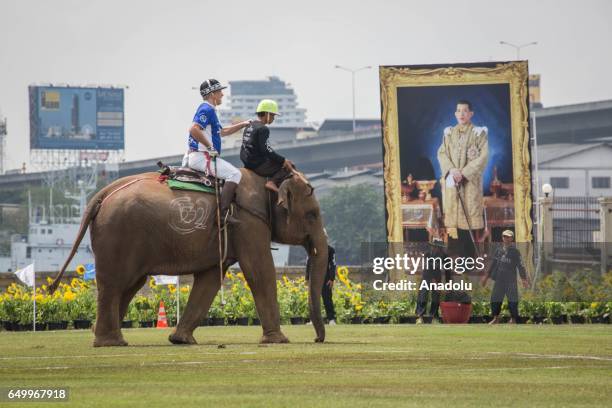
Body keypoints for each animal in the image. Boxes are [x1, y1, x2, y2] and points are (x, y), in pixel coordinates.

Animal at [49, 169, 328, 348]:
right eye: (313, 214)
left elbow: (210, 279)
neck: (267, 180)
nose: (317, 339)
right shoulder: (248, 222)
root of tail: (101, 195)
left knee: (129, 285)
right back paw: (110, 343)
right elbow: (259, 271)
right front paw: (279, 341)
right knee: (115, 284)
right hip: (118, 234)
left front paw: (180, 340)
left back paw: (106, 338)